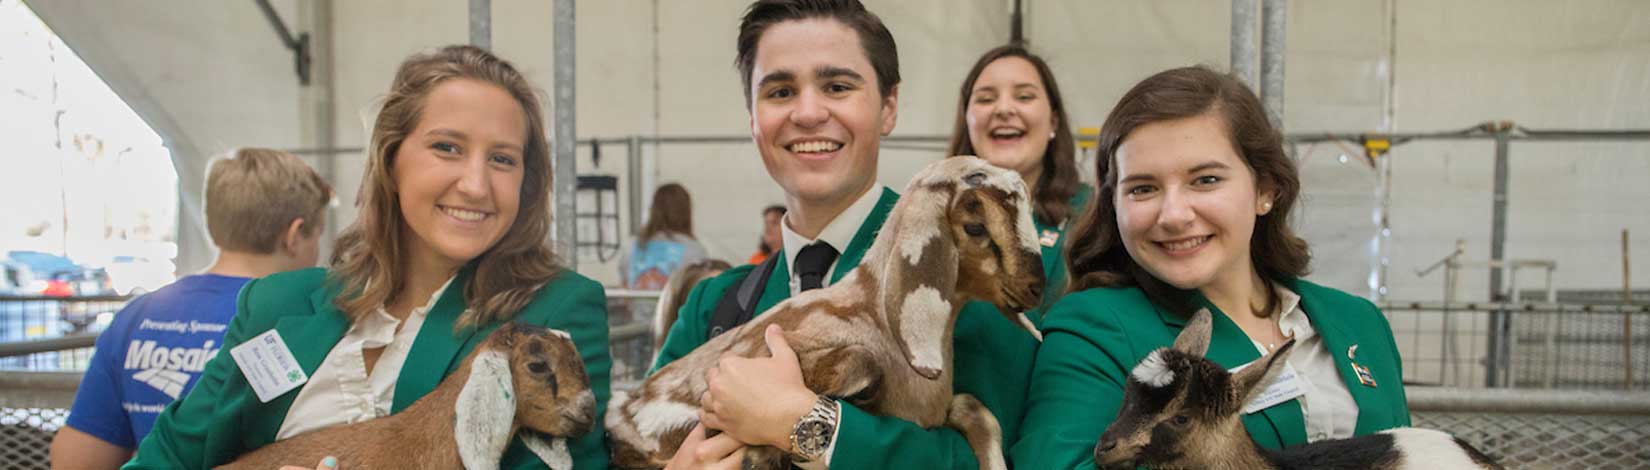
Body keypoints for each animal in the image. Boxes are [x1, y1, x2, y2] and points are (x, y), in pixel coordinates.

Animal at [603, 156, 1042, 468]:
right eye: (975, 227)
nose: (1035, 288)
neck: (880, 321)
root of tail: (623, 404)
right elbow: (859, 361)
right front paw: (758, 454)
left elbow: (977, 409)